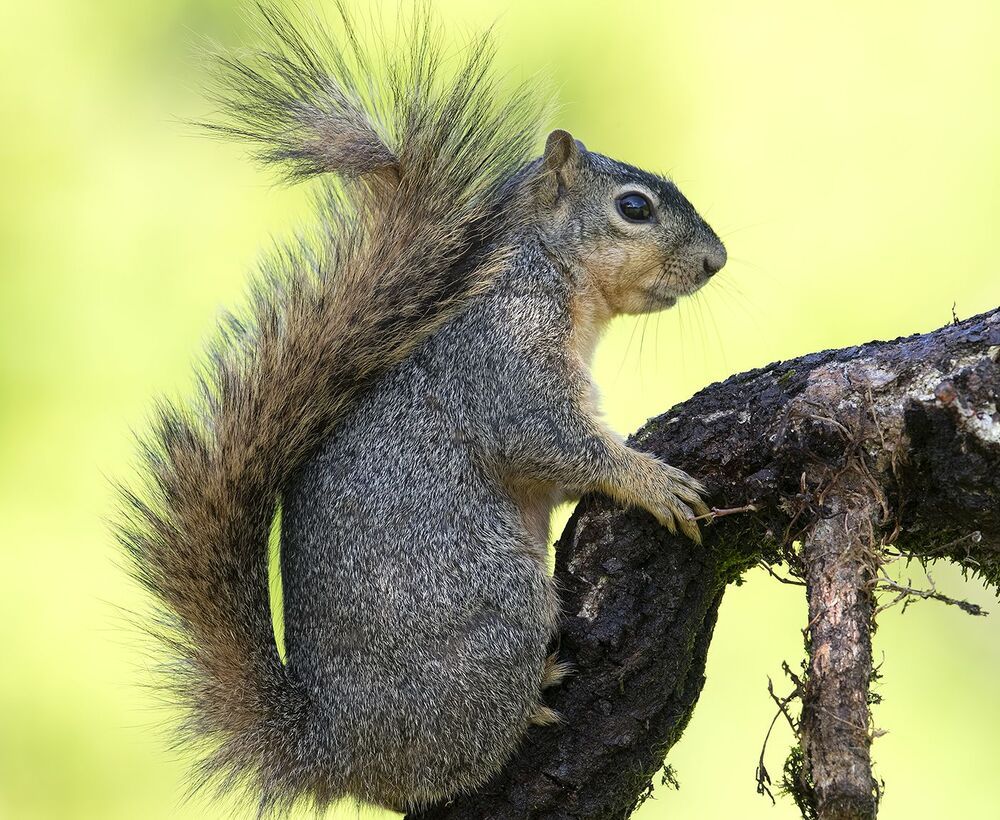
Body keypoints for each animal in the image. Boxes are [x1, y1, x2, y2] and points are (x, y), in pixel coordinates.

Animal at [117, 4, 727, 816]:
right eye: (634, 207)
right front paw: (648, 477)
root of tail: (335, 750)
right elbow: (550, 441)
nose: (717, 260)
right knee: (453, 762)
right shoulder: (499, 359)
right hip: (497, 609)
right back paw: (533, 699)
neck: (549, 273)